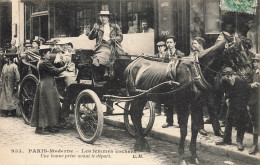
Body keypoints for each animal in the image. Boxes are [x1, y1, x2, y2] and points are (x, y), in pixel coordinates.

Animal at [123, 32, 245, 164]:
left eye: (246, 48)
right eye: (235, 49)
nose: (247, 70)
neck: (196, 71)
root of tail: (132, 63)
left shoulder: (197, 104)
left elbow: (195, 128)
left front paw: (194, 156)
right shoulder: (183, 105)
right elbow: (183, 130)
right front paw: (181, 156)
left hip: (142, 97)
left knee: (135, 115)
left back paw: (141, 142)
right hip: (136, 96)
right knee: (135, 114)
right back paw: (140, 143)